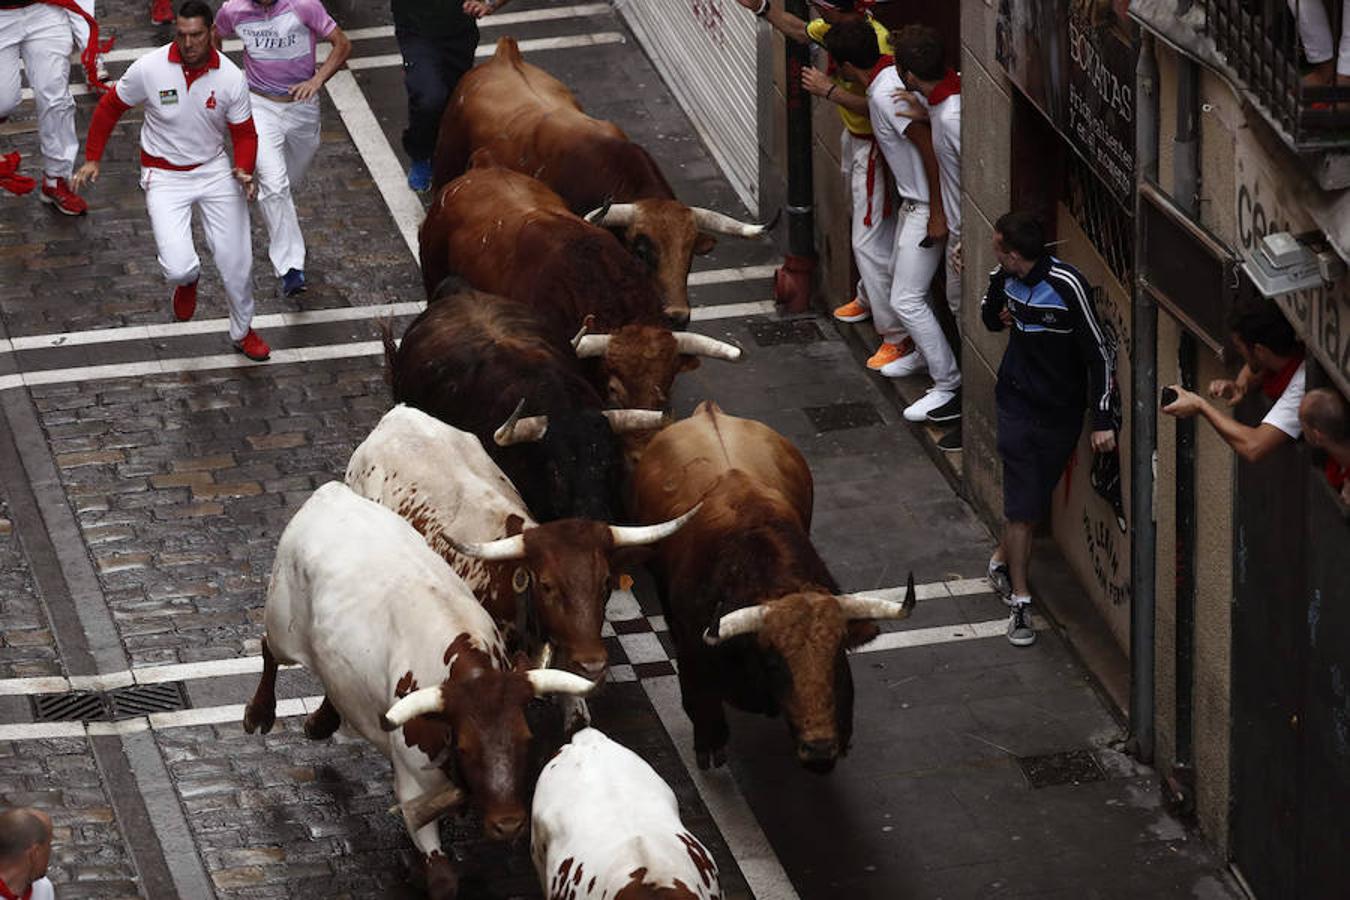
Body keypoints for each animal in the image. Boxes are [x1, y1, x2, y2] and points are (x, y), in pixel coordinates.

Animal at [631, 402, 918, 777]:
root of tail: (709, 412)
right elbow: (702, 699)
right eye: (773, 662)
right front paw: (709, 743)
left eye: (837, 657)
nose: (819, 748)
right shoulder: (693, 643)